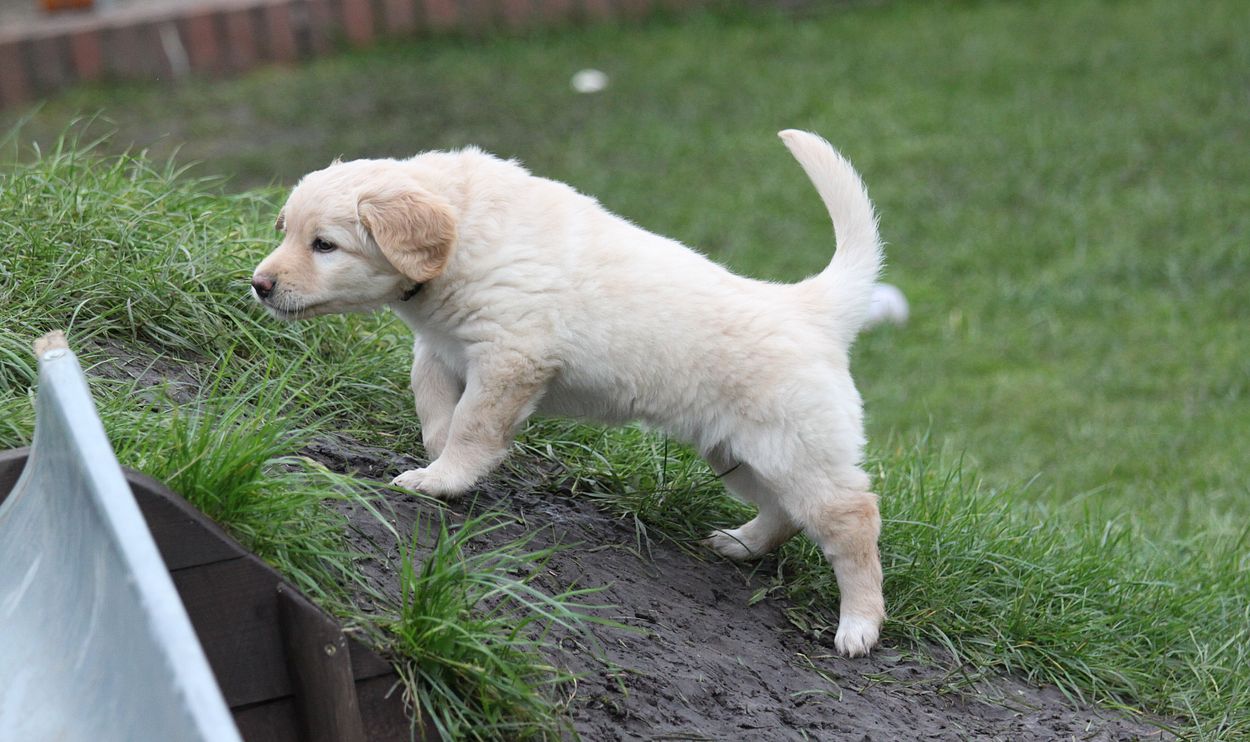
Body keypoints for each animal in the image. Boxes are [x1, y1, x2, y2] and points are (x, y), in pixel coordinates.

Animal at [252, 130, 887, 656]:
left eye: (325, 245)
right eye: (286, 231)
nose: (259, 285)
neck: (465, 230)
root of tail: (810, 308)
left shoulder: (510, 355)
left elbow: (473, 425)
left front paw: (446, 479)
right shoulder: (440, 349)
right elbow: (434, 409)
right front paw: (436, 462)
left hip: (795, 445)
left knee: (852, 517)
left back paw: (858, 627)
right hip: (738, 451)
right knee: (784, 511)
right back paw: (743, 543)